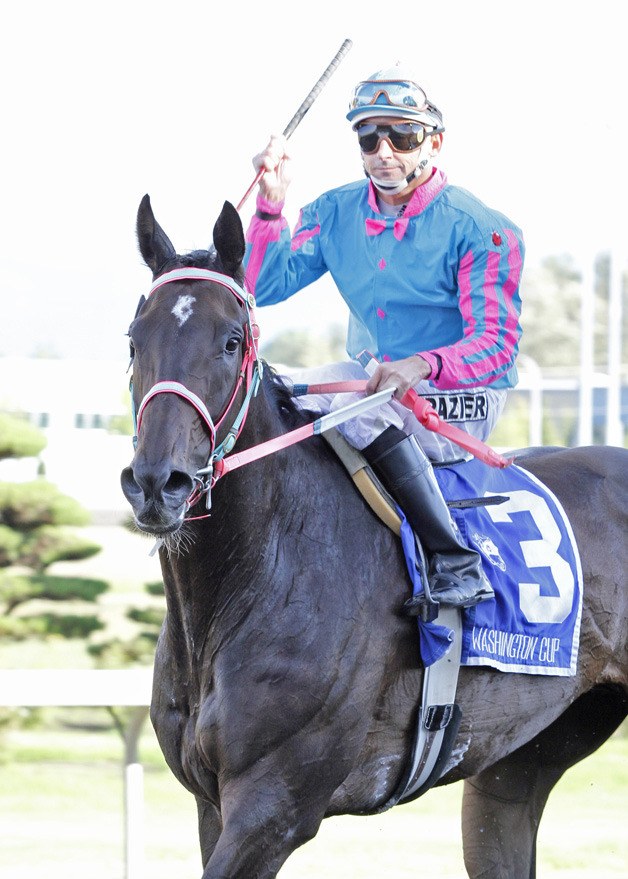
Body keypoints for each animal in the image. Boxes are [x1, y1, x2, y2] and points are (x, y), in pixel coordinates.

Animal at [120, 196, 624, 879]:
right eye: (134, 339)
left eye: (231, 341)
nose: (157, 483)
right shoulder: (211, 802)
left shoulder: (274, 807)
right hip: (524, 759)